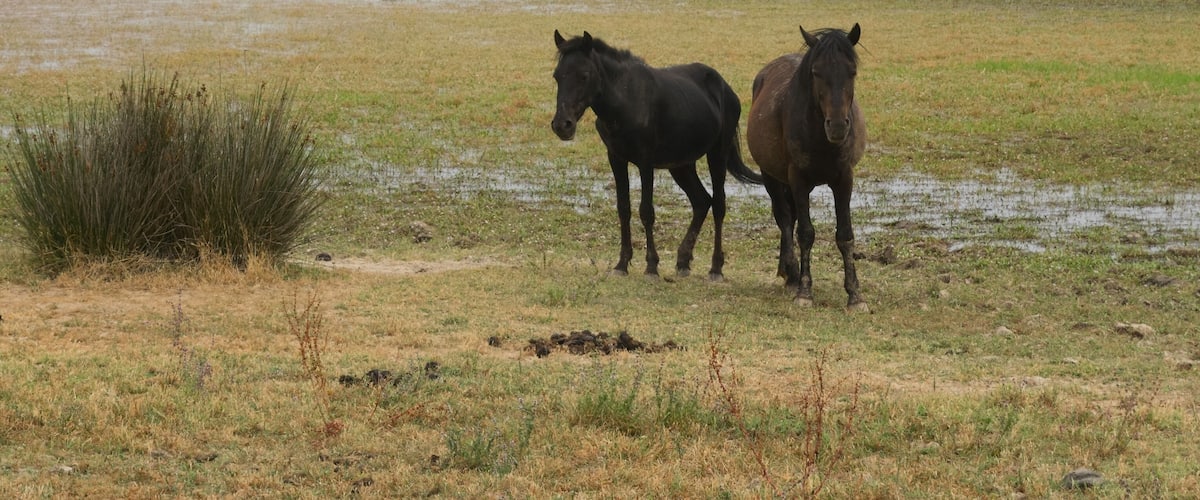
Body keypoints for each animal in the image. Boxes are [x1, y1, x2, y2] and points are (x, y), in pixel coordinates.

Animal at [551, 30, 763, 280]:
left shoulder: (645, 162)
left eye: (584, 75)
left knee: (719, 204)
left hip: (716, 155)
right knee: (702, 201)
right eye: (557, 76)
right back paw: (683, 261)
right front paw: (621, 264)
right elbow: (624, 209)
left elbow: (646, 211)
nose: (562, 125)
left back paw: (715, 268)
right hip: (681, 165)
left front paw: (651, 266)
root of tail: (726, 89)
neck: (626, 99)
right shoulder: (616, 159)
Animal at [746, 24, 868, 311]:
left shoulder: (844, 179)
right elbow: (805, 233)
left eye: (852, 71)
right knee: (784, 218)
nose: (838, 126)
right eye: (816, 72)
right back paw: (790, 273)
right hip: (772, 177)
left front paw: (855, 295)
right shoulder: (798, 179)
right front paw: (804, 290)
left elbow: (845, 235)